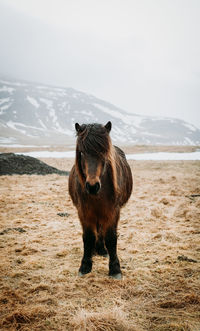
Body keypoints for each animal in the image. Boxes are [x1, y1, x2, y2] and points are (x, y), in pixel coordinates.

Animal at [69, 122, 133, 280]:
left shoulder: (112, 212)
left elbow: (111, 238)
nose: (92, 186)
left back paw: (101, 250)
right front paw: (85, 265)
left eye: (104, 153)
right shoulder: (84, 212)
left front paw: (115, 269)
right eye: (82, 152)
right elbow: (88, 237)